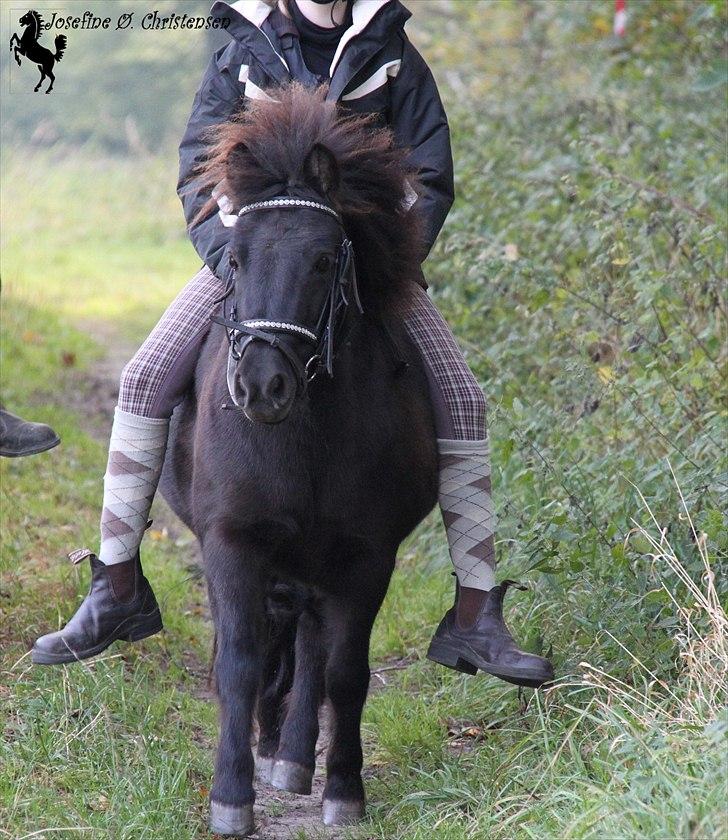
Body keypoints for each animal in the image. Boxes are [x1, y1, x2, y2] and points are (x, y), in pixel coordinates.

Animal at [162, 85, 438, 832]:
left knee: (314, 646)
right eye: (235, 259)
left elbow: (346, 672)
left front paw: (343, 789)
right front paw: (231, 797)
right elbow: (239, 662)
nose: (262, 386)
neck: (306, 438)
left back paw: (291, 756)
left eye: (323, 259)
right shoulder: (231, 543)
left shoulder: (367, 556)